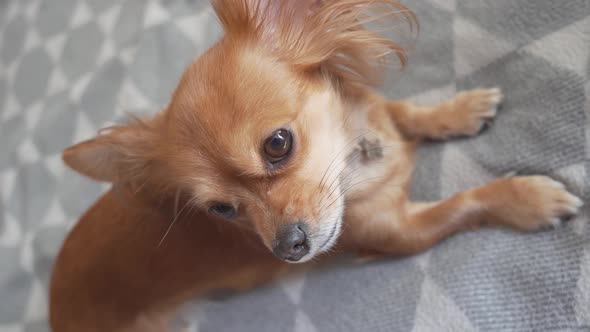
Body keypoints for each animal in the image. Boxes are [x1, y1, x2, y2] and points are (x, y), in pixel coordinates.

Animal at [48, 1, 584, 330]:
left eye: (277, 144)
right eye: (223, 210)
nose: (287, 248)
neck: (356, 164)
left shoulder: (377, 116)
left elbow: (408, 113)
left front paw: (457, 110)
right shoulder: (402, 234)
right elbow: (464, 203)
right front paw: (528, 199)